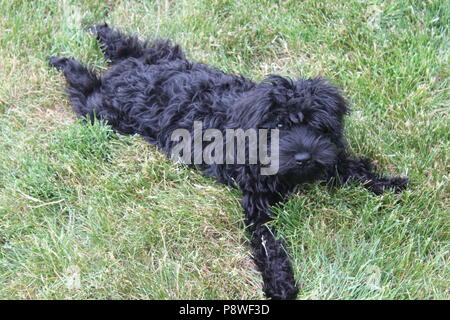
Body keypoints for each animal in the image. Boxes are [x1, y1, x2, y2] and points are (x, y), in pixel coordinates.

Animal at [49, 25, 408, 300]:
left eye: (317, 125)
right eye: (279, 126)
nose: (304, 157)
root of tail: (122, 74)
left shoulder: (328, 155)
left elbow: (350, 167)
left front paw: (390, 183)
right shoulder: (257, 206)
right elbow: (269, 245)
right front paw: (280, 283)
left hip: (159, 55)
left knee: (126, 44)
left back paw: (99, 31)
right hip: (102, 112)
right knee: (83, 85)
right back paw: (65, 60)